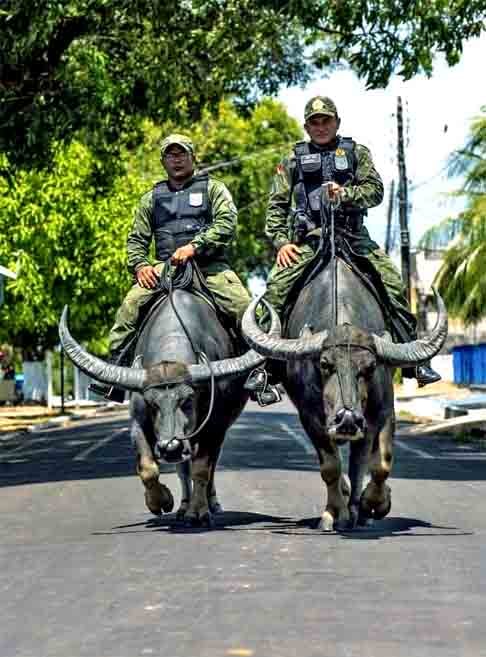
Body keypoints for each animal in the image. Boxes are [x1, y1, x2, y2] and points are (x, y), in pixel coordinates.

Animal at [59, 290, 278, 524]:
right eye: (151, 403)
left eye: (188, 399)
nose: (169, 447)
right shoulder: (138, 423)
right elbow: (148, 468)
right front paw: (161, 502)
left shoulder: (215, 426)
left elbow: (202, 469)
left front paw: (198, 511)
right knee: (183, 468)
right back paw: (182, 506)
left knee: (210, 465)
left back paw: (211, 503)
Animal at [243, 258, 448, 532]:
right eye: (325, 364)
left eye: (370, 367)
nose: (347, 420)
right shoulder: (311, 418)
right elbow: (331, 466)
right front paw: (334, 513)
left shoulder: (382, 412)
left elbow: (378, 464)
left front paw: (373, 505)